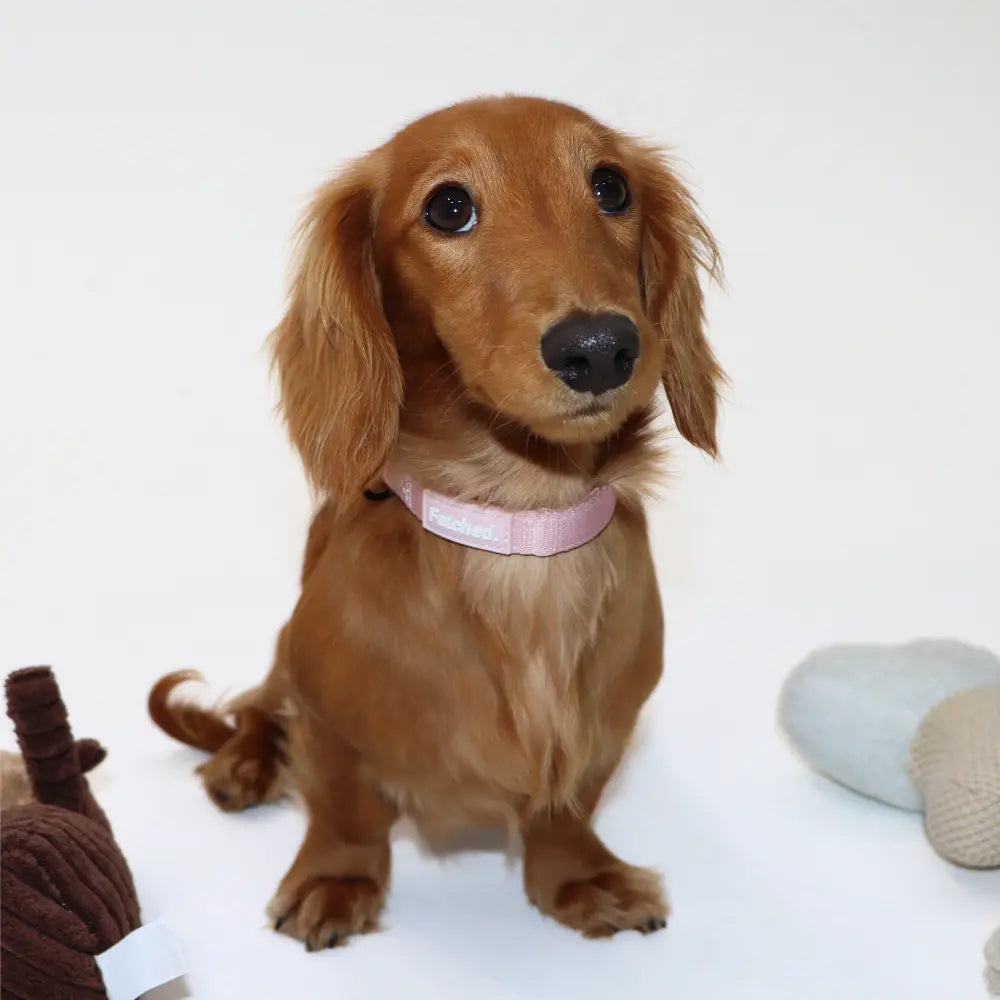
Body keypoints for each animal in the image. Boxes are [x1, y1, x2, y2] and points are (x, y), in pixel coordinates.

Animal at [148, 97, 724, 948]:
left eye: (612, 187)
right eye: (449, 208)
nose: (599, 348)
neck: (519, 523)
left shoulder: (608, 727)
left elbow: (567, 805)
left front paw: (579, 876)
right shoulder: (328, 712)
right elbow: (345, 809)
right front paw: (336, 879)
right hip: (286, 651)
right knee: (256, 704)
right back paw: (245, 763)